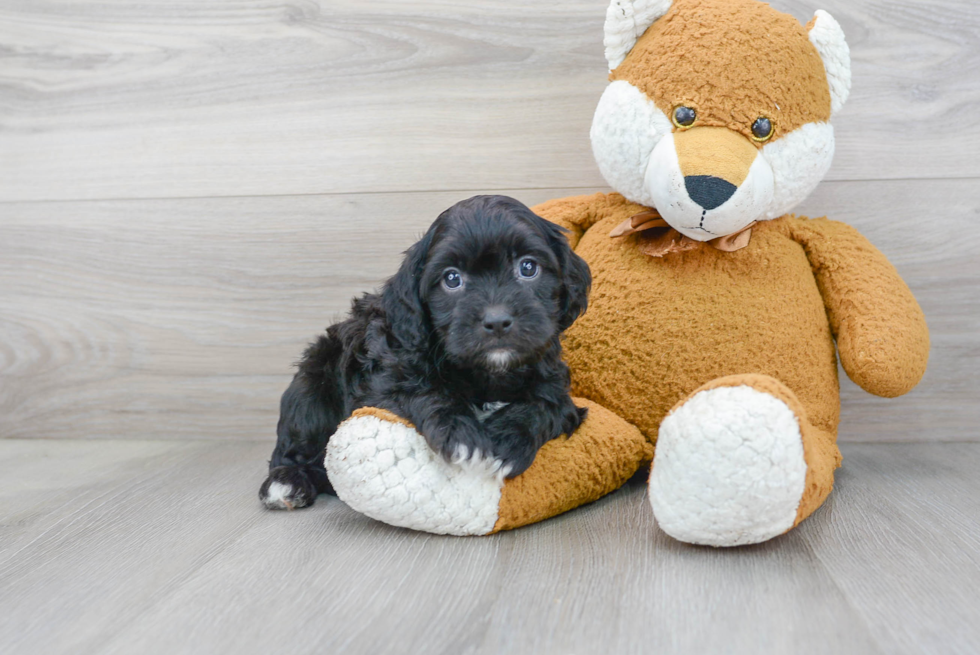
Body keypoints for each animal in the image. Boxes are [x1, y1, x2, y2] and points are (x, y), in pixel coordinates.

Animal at [260, 195, 588, 512]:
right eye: (452, 279)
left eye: (528, 267)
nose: (496, 321)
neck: (487, 373)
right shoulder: (386, 381)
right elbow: (424, 392)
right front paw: (464, 438)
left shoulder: (554, 386)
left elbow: (542, 405)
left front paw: (505, 443)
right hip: (311, 386)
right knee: (293, 448)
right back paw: (286, 483)